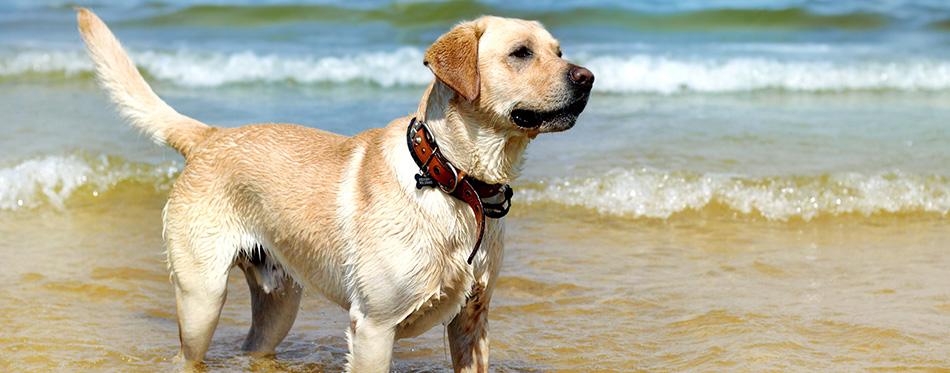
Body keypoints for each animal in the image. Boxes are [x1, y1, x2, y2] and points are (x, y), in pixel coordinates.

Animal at [78, 7, 592, 370]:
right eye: (521, 53)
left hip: (279, 304)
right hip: (201, 298)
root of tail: (209, 136)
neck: (453, 180)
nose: (587, 77)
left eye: (558, 50)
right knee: (187, 355)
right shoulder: (374, 328)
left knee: (253, 348)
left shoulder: (472, 322)